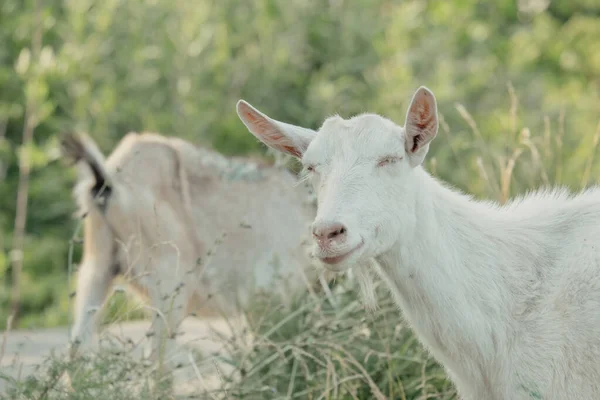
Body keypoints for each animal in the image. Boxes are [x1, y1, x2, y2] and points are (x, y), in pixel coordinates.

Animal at [59, 133, 330, 364]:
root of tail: (109, 181)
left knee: (77, 348)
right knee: (156, 360)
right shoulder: (274, 296)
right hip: (170, 283)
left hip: (98, 266)